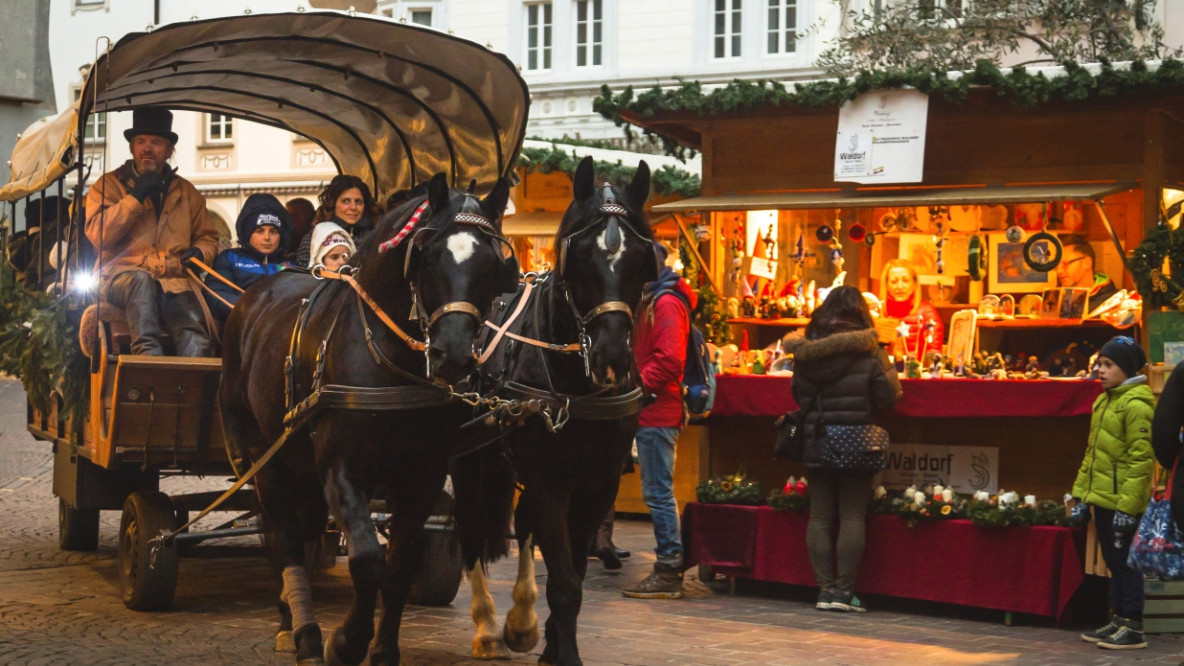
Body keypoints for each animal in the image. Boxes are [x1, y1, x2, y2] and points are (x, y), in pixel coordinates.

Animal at [220, 171, 516, 663]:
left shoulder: (423, 475)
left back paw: (290, 617)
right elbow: (366, 559)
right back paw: (303, 632)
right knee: (285, 538)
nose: (453, 354)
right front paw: (346, 641)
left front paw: (382, 649)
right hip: (266, 456)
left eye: (493, 262)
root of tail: (256, 295)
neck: (389, 362)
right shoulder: (341, 467)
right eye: (427, 254)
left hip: (302, 464)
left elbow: (399, 565)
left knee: (303, 530)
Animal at [449, 156, 658, 663]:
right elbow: (563, 581)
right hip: (469, 461)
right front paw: (561, 650)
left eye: (643, 259)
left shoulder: (598, 482)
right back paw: (488, 628)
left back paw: (521, 622)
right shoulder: (549, 478)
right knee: (470, 530)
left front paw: (551, 642)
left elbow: (574, 572)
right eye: (578, 256)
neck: (577, 388)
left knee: (522, 525)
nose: (611, 357)